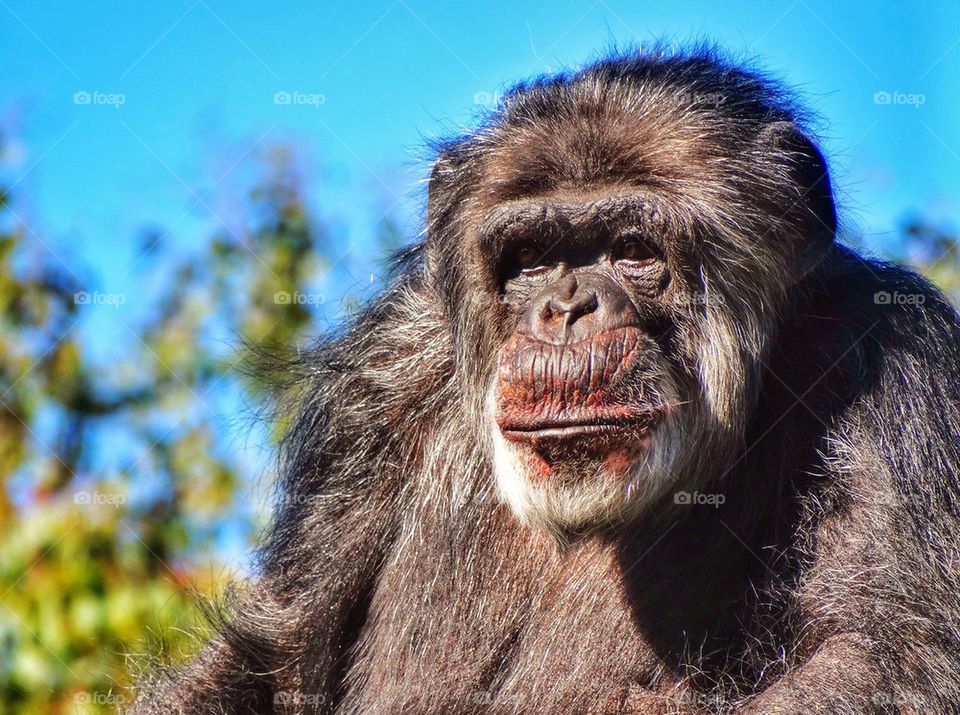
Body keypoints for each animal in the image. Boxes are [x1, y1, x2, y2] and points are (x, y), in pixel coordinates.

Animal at [134, 45, 960, 714]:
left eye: (634, 250)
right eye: (530, 259)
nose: (565, 309)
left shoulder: (895, 373)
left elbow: (884, 661)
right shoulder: (387, 368)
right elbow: (279, 652)